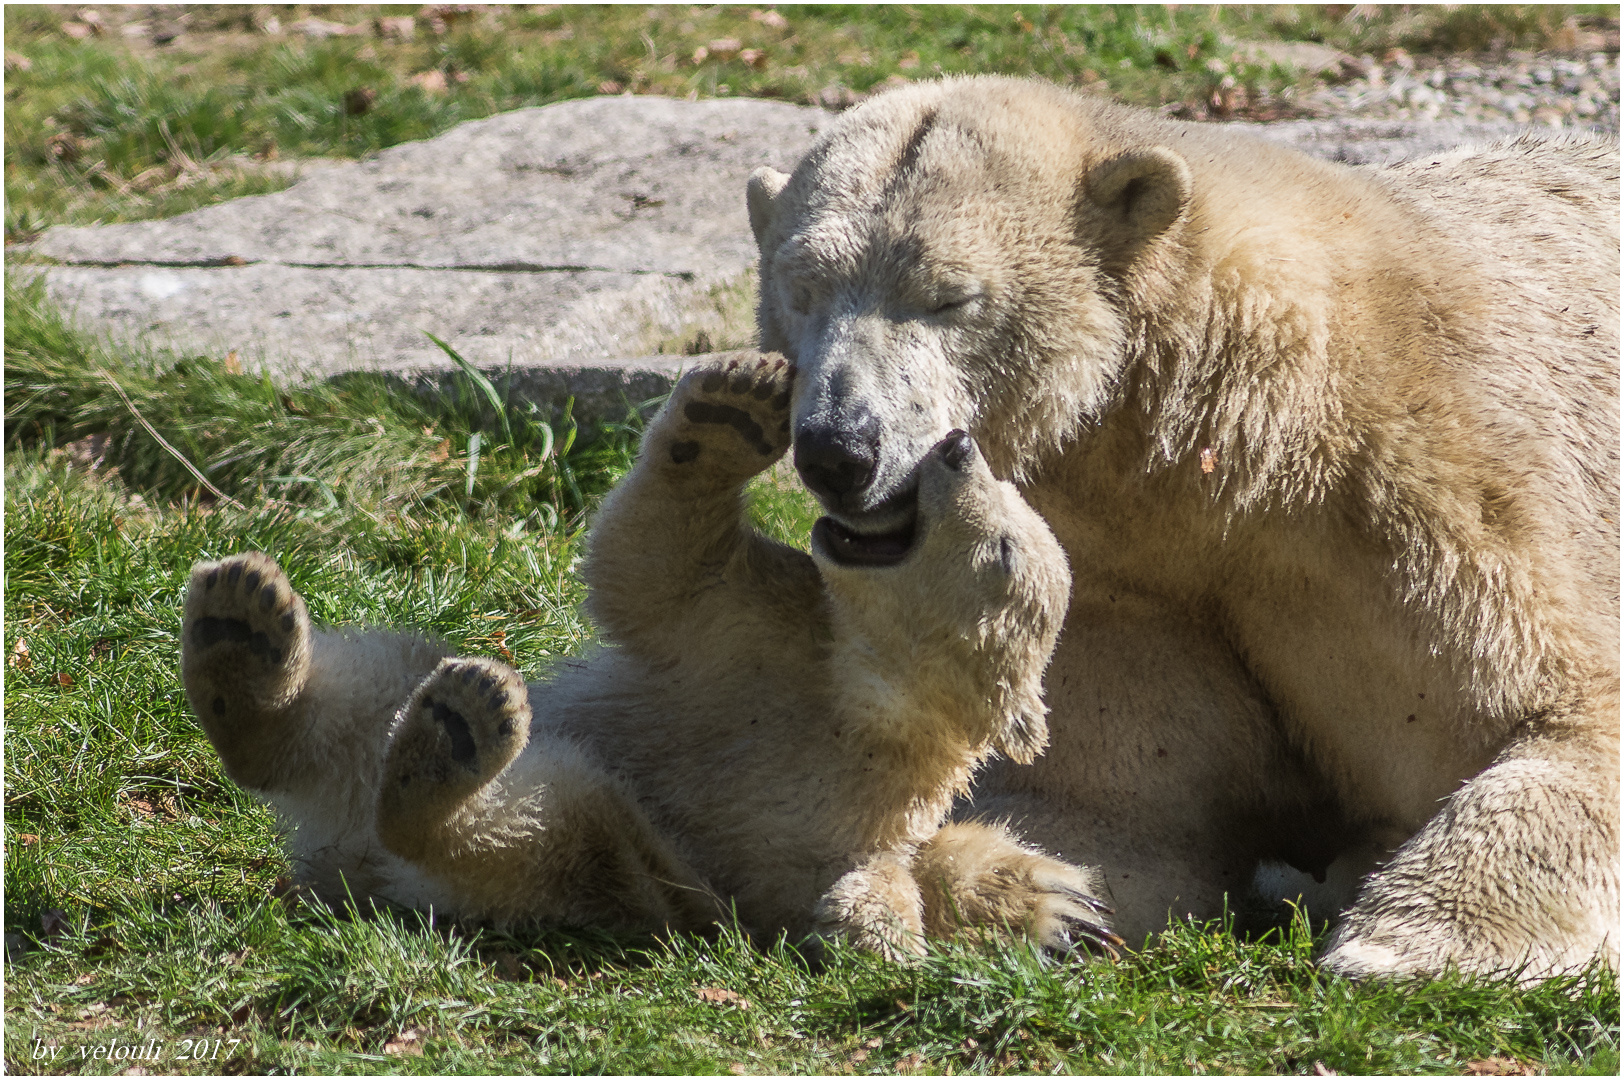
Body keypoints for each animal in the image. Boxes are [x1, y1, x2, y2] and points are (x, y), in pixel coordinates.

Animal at [743, 77, 1611, 974]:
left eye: (949, 297)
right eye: (800, 290)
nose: (840, 449)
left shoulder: (1410, 488)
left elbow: (1547, 710)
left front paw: (1402, 943)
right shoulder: (1130, 581)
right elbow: (1111, 805)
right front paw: (1038, 900)